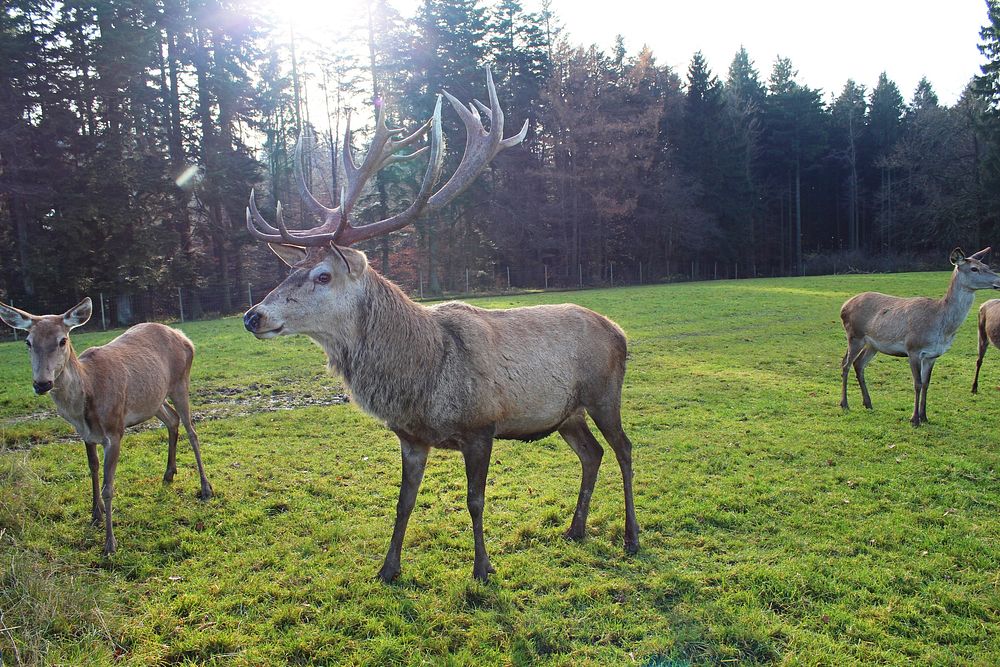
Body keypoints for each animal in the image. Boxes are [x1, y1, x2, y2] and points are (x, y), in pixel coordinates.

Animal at [0, 300, 211, 556]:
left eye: (62, 340)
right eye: (28, 342)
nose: (42, 383)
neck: (87, 396)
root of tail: (184, 336)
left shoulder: (115, 429)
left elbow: (108, 487)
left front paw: (110, 543)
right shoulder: (86, 434)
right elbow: (93, 468)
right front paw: (95, 515)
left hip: (180, 382)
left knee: (192, 431)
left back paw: (205, 488)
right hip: (153, 400)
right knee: (172, 420)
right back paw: (169, 474)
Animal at [238, 66, 636, 580]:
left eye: (323, 274)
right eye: (290, 270)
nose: (253, 315)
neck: (423, 380)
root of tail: (619, 331)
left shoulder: (481, 426)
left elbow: (476, 501)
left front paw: (483, 568)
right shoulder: (411, 438)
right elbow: (403, 503)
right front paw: (388, 569)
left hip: (605, 393)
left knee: (624, 450)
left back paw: (631, 536)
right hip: (566, 413)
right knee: (593, 454)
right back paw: (576, 528)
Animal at [836, 249, 1000, 428]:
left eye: (986, 265)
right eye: (974, 269)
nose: (998, 280)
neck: (941, 326)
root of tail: (844, 306)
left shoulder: (932, 355)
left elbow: (926, 383)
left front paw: (925, 417)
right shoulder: (913, 349)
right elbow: (917, 384)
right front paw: (914, 419)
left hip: (872, 345)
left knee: (858, 364)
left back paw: (868, 403)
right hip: (854, 335)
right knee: (845, 364)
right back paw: (844, 404)